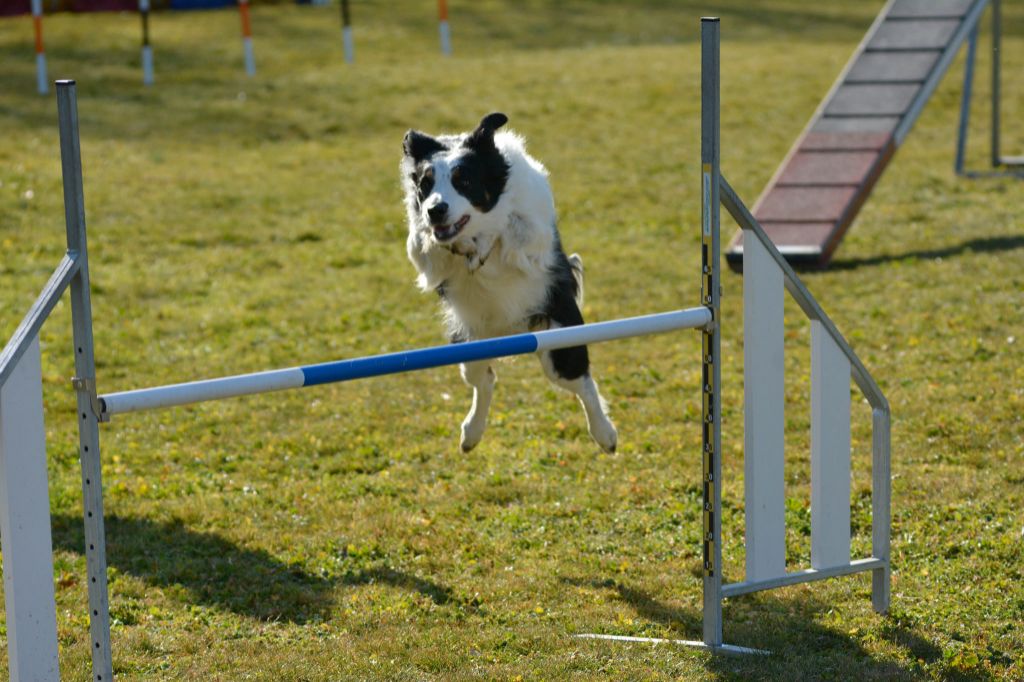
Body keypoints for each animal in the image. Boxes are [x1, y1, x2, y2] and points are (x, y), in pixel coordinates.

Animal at [401, 111, 614, 450]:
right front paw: (464, 247)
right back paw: (471, 433)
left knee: (580, 380)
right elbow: (426, 244)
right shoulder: (426, 248)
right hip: (468, 344)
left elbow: (511, 230)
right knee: (484, 378)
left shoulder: (536, 249)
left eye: (464, 181)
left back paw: (606, 435)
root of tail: (509, 332)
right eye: (425, 184)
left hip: (558, 340)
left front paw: (487, 242)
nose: (436, 210)